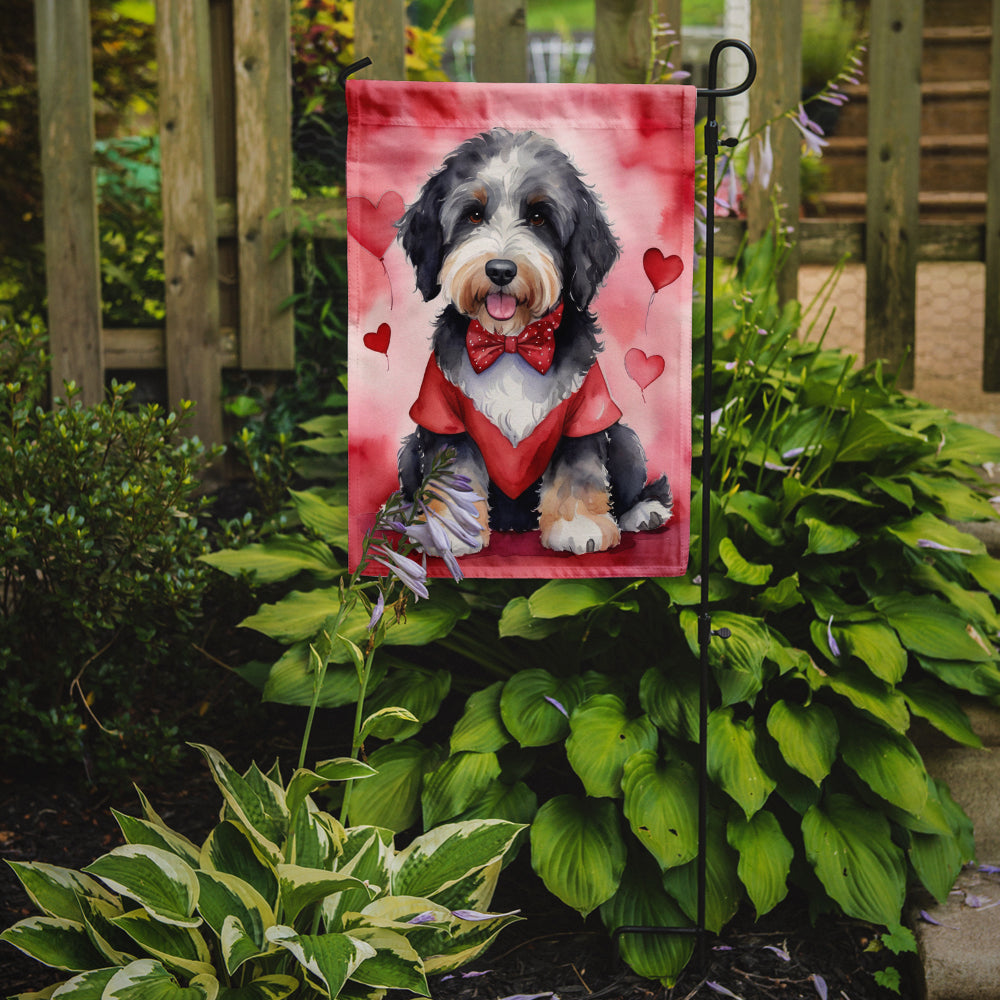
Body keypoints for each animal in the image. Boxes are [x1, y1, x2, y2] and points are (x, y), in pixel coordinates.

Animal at [392, 127, 672, 556]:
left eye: (539, 217)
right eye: (473, 214)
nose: (500, 270)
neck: (512, 343)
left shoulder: (584, 414)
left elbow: (579, 470)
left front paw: (579, 526)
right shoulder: (442, 414)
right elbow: (451, 475)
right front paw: (450, 532)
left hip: (626, 440)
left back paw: (644, 511)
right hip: (409, 448)